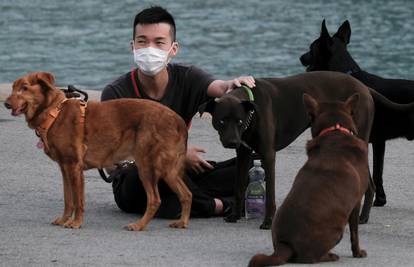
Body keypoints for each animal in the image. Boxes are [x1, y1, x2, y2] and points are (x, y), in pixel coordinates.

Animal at [4, 72, 192, 231]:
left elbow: (78, 200)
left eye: (24, 88)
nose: (5, 104)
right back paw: (182, 222)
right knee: (186, 194)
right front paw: (64, 219)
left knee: (154, 199)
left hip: (146, 165)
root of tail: (178, 120)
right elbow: (68, 199)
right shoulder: (65, 168)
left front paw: (76, 223)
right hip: (168, 170)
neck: (53, 113)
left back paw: (139, 225)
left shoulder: (74, 167)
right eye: (13, 87)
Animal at [200, 71, 376, 230]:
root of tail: (364, 87)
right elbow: (239, 187)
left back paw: (362, 216)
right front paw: (235, 215)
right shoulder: (243, 154)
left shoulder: (268, 155)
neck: (252, 113)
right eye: (222, 121)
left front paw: (268, 221)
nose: (232, 142)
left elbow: (270, 193)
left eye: (239, 121)